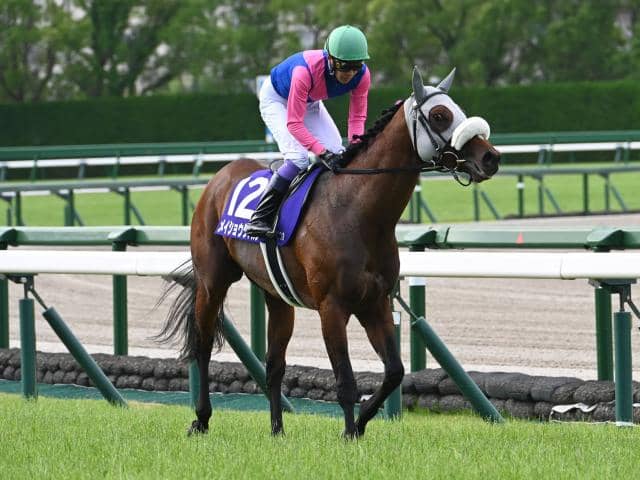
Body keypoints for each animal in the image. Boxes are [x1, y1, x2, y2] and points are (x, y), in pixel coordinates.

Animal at [158, 66, 500, 438]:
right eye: (439, 115)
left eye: (459, 110)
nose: (491, 158)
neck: (358, 212)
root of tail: (218, 178)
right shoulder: (331, 307)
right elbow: (346, 381)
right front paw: (349, 433)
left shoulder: (375, 301)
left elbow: (394, 372)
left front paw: (361, 423)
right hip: (213, 282)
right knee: (203, 346)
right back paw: (201, 418)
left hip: (277, 296)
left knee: (274, 365)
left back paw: (277, 430)